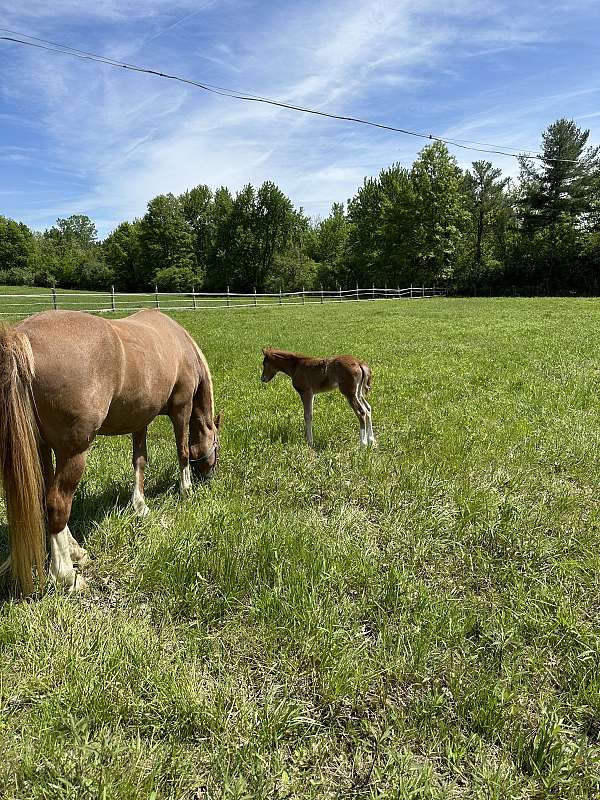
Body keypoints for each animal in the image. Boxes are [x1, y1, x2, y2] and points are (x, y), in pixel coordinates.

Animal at [0, 309, 220, 595]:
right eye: (216, 444)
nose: (209, 476)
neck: (181, 343)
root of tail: (21, 336)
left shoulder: (141, 419)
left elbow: (140, 461)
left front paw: (140, 506)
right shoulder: (181, 408)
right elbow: (182, 451)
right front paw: (186, 490)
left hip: (42, 448)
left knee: (44, 498)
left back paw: (75, 551)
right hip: (73, 453)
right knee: (57, 503)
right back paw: (67, 576)